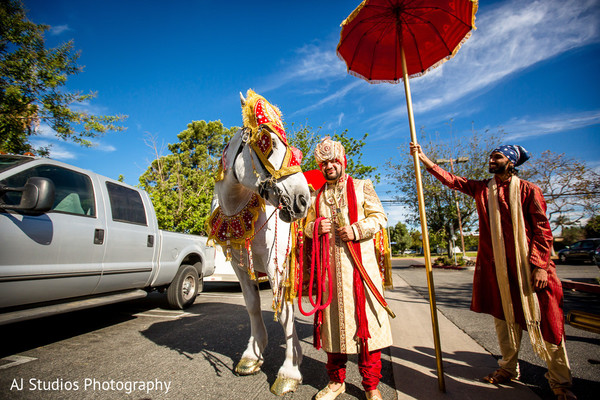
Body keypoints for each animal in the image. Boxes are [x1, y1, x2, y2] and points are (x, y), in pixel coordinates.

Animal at [211, 93, 312, 394]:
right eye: (269, 143)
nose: (303, 200)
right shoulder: (240, 265)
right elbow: (253, 305)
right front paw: (252, 355)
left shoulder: (276, 262)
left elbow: (286, 312)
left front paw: (290, 370)